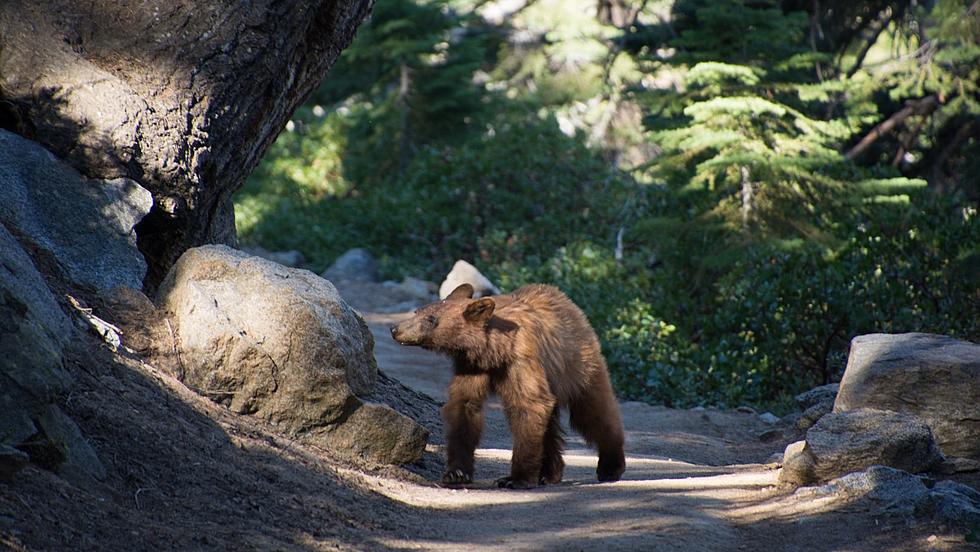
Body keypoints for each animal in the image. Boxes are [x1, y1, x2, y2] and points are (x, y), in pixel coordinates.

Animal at [388, 284, 624, 488]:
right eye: (418, 311)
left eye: (431, 319)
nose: (395, 329)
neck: (492, 351)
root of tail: (569, 302)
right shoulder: (470, 366)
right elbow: (464, 406)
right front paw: (456, 473)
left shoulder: (521, 359)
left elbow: (529, 404)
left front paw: (515, 478)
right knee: (551, 426)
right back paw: (549, 474)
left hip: (577, 365)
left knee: (593, 412)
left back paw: (611, 466)